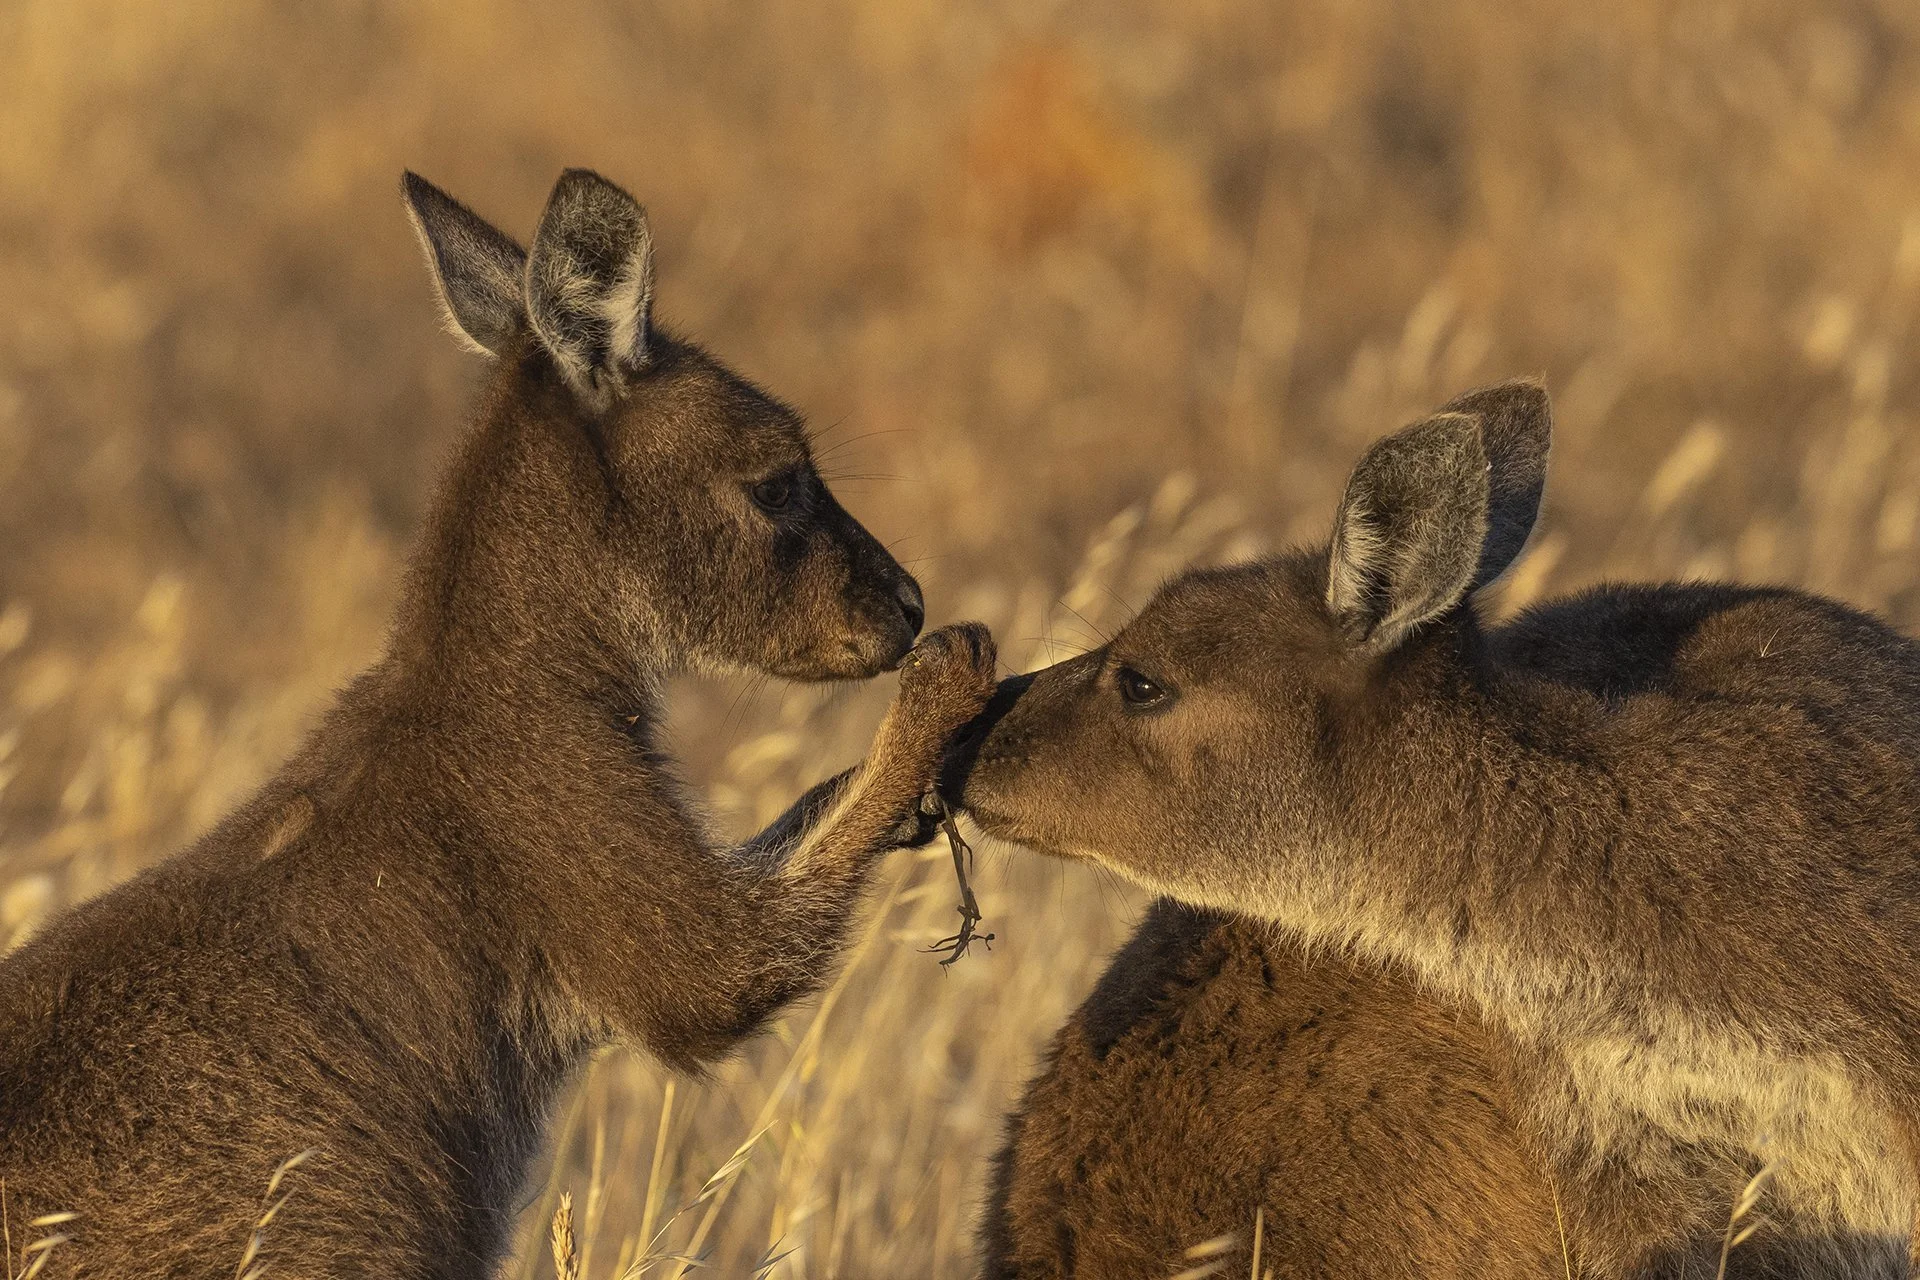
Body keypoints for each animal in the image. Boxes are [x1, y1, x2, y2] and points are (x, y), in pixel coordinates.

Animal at [0, 167, 996, 1277]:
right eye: (777, 483)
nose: (908, 606)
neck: (507, 675)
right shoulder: (578, 847)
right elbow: (729, 967)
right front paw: (952, 677)